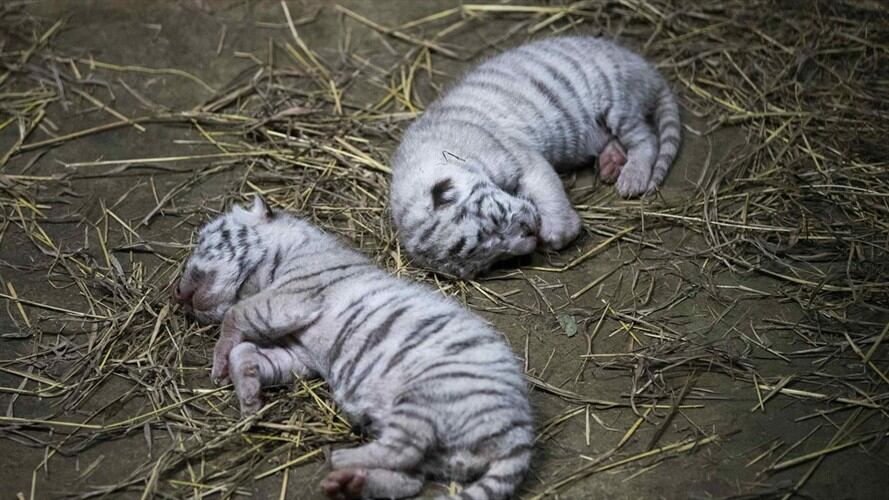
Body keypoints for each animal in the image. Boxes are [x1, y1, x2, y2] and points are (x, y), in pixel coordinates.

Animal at [174, 197, 533, 500]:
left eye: (203, 240)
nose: (176, 294)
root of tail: (520, 433)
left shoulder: (290, 297)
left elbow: (234, 315)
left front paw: (219, 365)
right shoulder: (299, 354)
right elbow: (248, 353)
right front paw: (248, 397)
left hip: (429, 394)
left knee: (404, 448)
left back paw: (338, 458)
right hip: (441, 452)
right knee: (408, 478)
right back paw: (350, 482)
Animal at [389, 35, 681, 278]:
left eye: (494, 221)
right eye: (492, 258)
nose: (530, 236)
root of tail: (644, 67)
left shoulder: (522, 159)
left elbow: (550, 194)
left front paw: (558, 232)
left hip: (618, 102)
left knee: (646, 139)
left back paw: (632, 179)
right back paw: (610, 164)